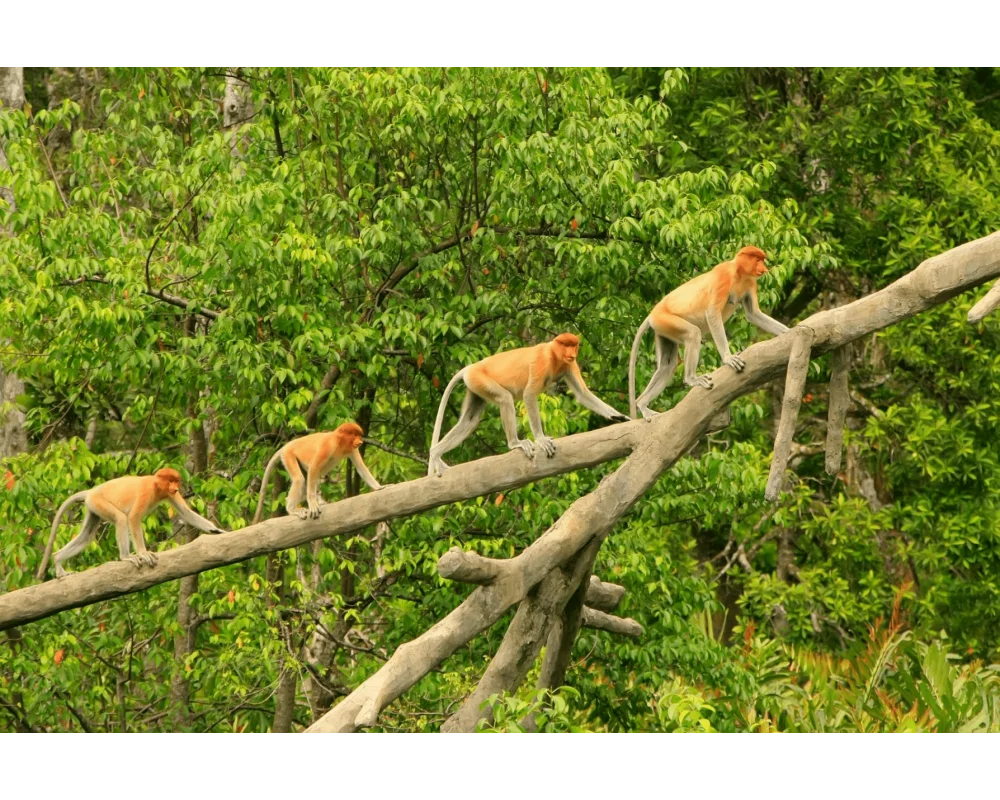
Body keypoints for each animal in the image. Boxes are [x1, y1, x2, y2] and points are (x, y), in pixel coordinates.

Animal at [38, 468, 225, 579]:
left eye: (176, 481)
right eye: (171, 480)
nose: (176, 487)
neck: (156, 486)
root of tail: (91, 491)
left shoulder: (169, 494)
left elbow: (187, 513)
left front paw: (218, 531)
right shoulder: (146, 492)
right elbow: (133, 518)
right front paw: (143, 553)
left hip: (93, 506)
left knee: (87, 536)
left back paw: (57, 561)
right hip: (99, 502)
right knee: (121, 519)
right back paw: (126, 557)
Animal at [252, 422, 383, 525]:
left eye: (359, 435)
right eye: (354, 435)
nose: (360, 442)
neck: (339, 441)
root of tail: (286, 446)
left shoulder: (352, 449)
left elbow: (361, 468)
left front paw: (380, 487)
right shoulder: (328, 445)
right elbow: (314, 466)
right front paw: (313, 505)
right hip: (289, 455)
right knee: (300, 479)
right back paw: (293, 509)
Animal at [427, 332, 629, 477]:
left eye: (574, 346)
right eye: (566, 345)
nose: (572, 354)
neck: (553, 354)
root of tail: (471, 367)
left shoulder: (569, 365)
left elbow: (582, 394)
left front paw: (619, 416)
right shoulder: (542, 362)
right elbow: (530, 394)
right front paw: (541, 439)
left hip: (475, 386)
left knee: (469, 421)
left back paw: (436, 454)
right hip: (480, 379)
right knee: (505, 399)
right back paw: (515, 443)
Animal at [628, 245, 790, 421]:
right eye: (758, 259)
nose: (764, 269)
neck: (739, 272)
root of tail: (653, 313)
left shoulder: (750, 282)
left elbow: (753, 314)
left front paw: (789, 331)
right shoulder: (723, 277)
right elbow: (713, 313)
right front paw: (728, 359)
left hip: (662, 329)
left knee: (667, 364)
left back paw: (642, 404)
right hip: (665, 319)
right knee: (693, 334)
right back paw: (692, 379)